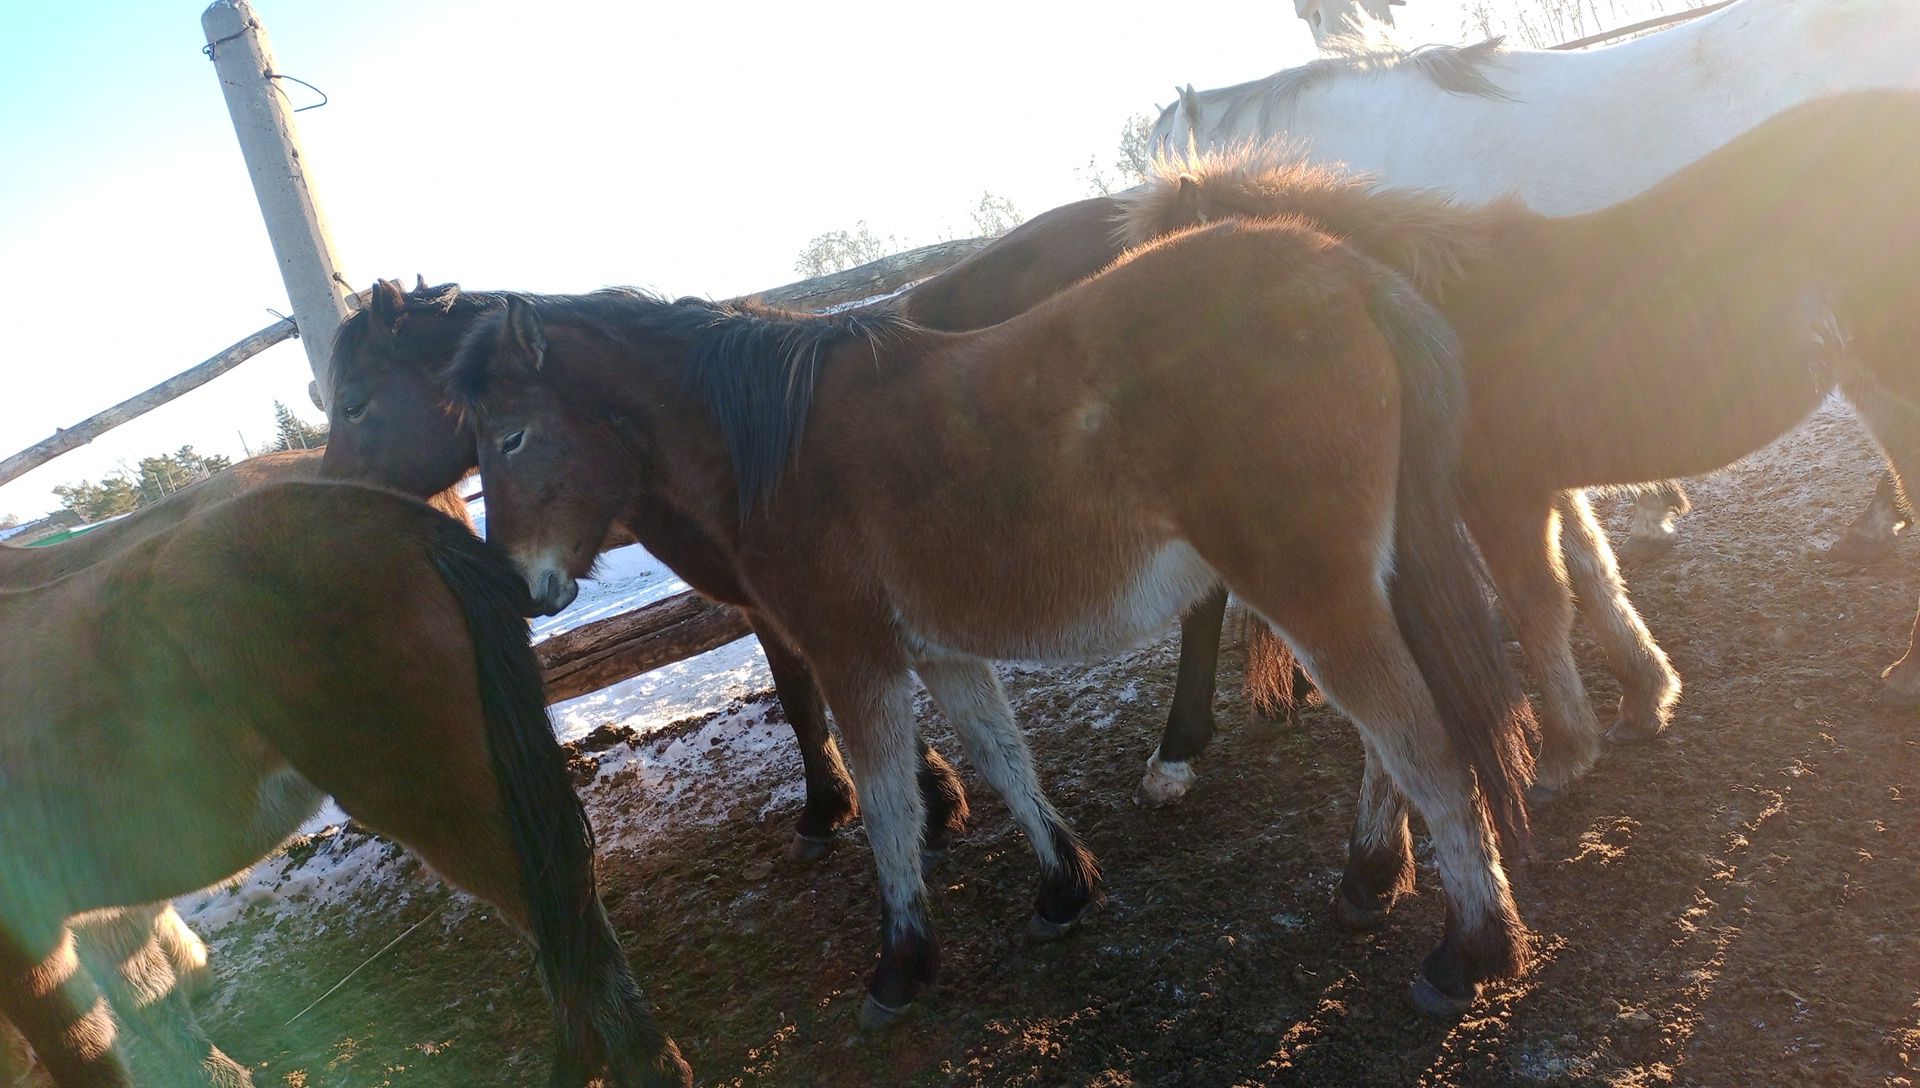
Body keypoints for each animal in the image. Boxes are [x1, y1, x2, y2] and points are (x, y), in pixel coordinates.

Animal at [0, 485, 691, 1088]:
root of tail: (395, 518)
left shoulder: (32, 944)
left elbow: (90, 1054)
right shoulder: (99, 920)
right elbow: (160, 1018)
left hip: (435, 799)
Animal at [441, 219, 1536, 1020]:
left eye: (512, 433)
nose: (521, 586)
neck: (774, 446)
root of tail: (1346, 271)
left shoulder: (851, 656)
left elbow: (888, 805)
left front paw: (901, 961)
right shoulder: (940, 651)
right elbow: (1004, 761)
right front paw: (1063, 889)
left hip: (1313, 585)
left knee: (1424, 744)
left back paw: (1472, 950)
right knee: (1391, 746)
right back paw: (1370, 878)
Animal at [1121, 87, 1920, 802]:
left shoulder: (1502, 492)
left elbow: (1538, 602)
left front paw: (1564, 753)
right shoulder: (1549, 483)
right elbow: (1594, 578)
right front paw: (1645, 700)